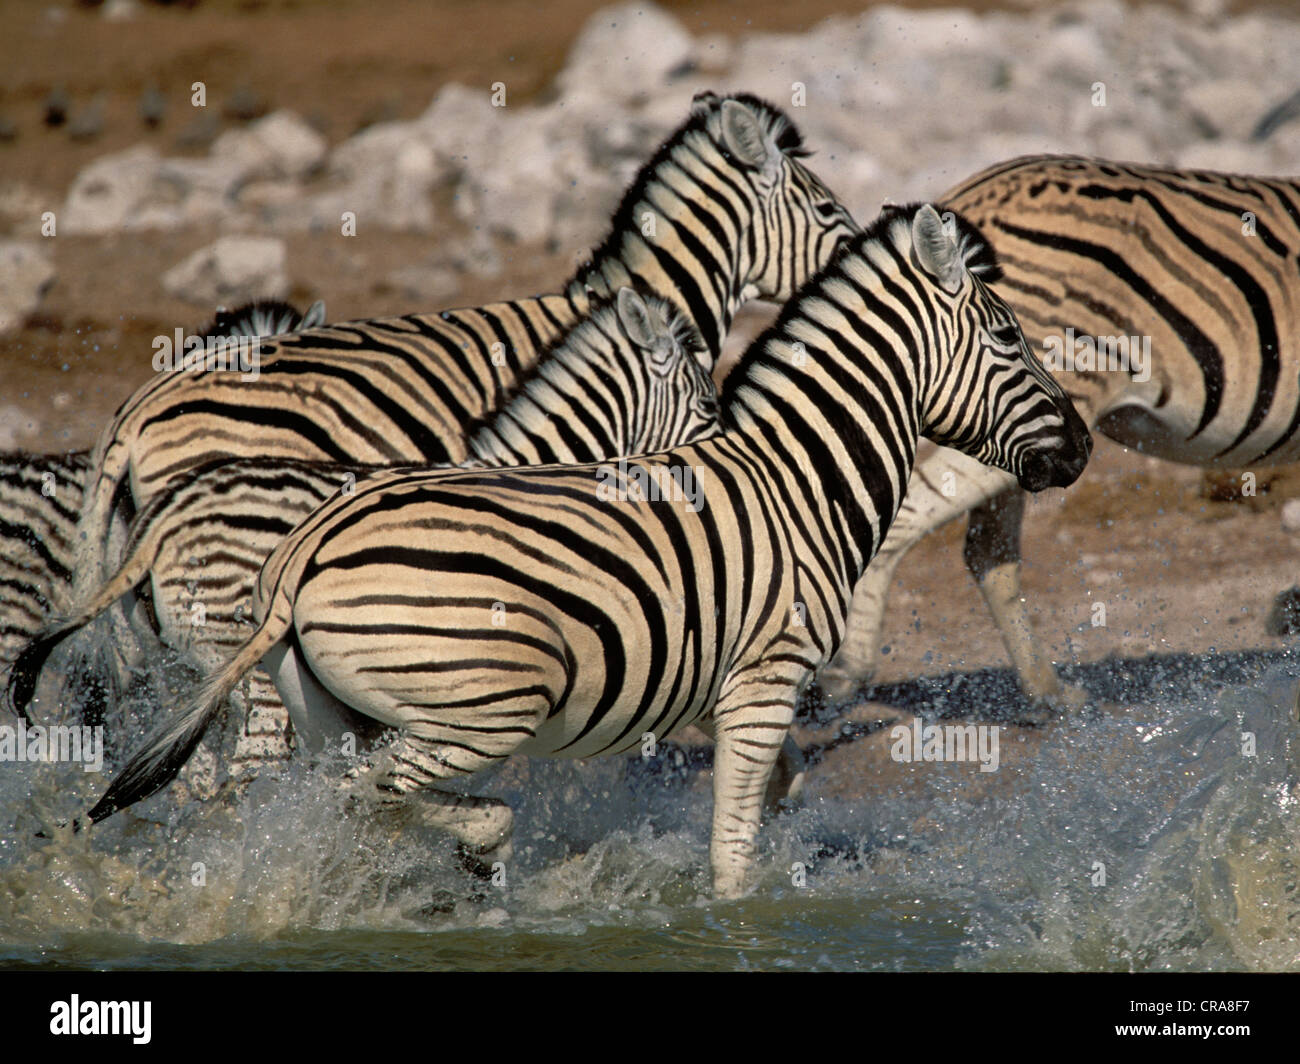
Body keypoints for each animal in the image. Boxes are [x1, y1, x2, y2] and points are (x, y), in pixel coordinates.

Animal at [86, 204, 1091, 898]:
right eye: (1009, 336)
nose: (1081, 447)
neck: (800, 481)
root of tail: (301, 563)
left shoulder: (707, 688)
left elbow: (772, 805)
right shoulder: (764, 681)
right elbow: (733, 860)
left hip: (341, 715)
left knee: (341, 808)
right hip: (477, 711)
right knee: (361, 798)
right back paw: (475, 848)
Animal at [817, 155, 1300, 708]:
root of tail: (970, 197)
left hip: (1017, 440)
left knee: (988, 553)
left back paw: (1046, 692)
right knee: (911, 523)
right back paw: (848, 671)